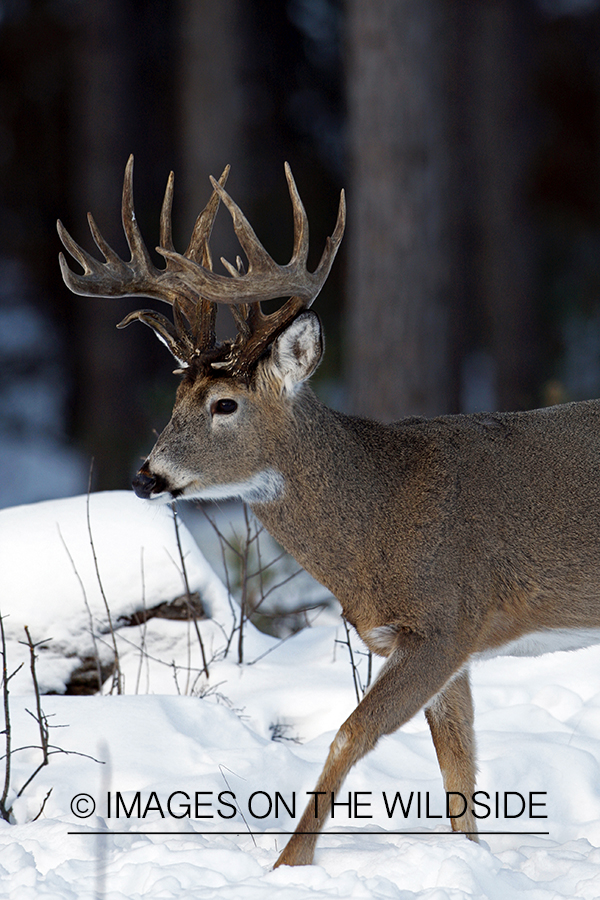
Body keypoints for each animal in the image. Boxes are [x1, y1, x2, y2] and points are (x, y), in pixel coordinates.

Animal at [57, 158, 600, 868]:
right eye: (176, 397)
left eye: (225, 404)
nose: (148, 476)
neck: (378, 523)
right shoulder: (435, 642)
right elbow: (457, 770)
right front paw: (473, 862)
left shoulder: (449, 617)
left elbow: (350, 735)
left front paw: (289, 863)